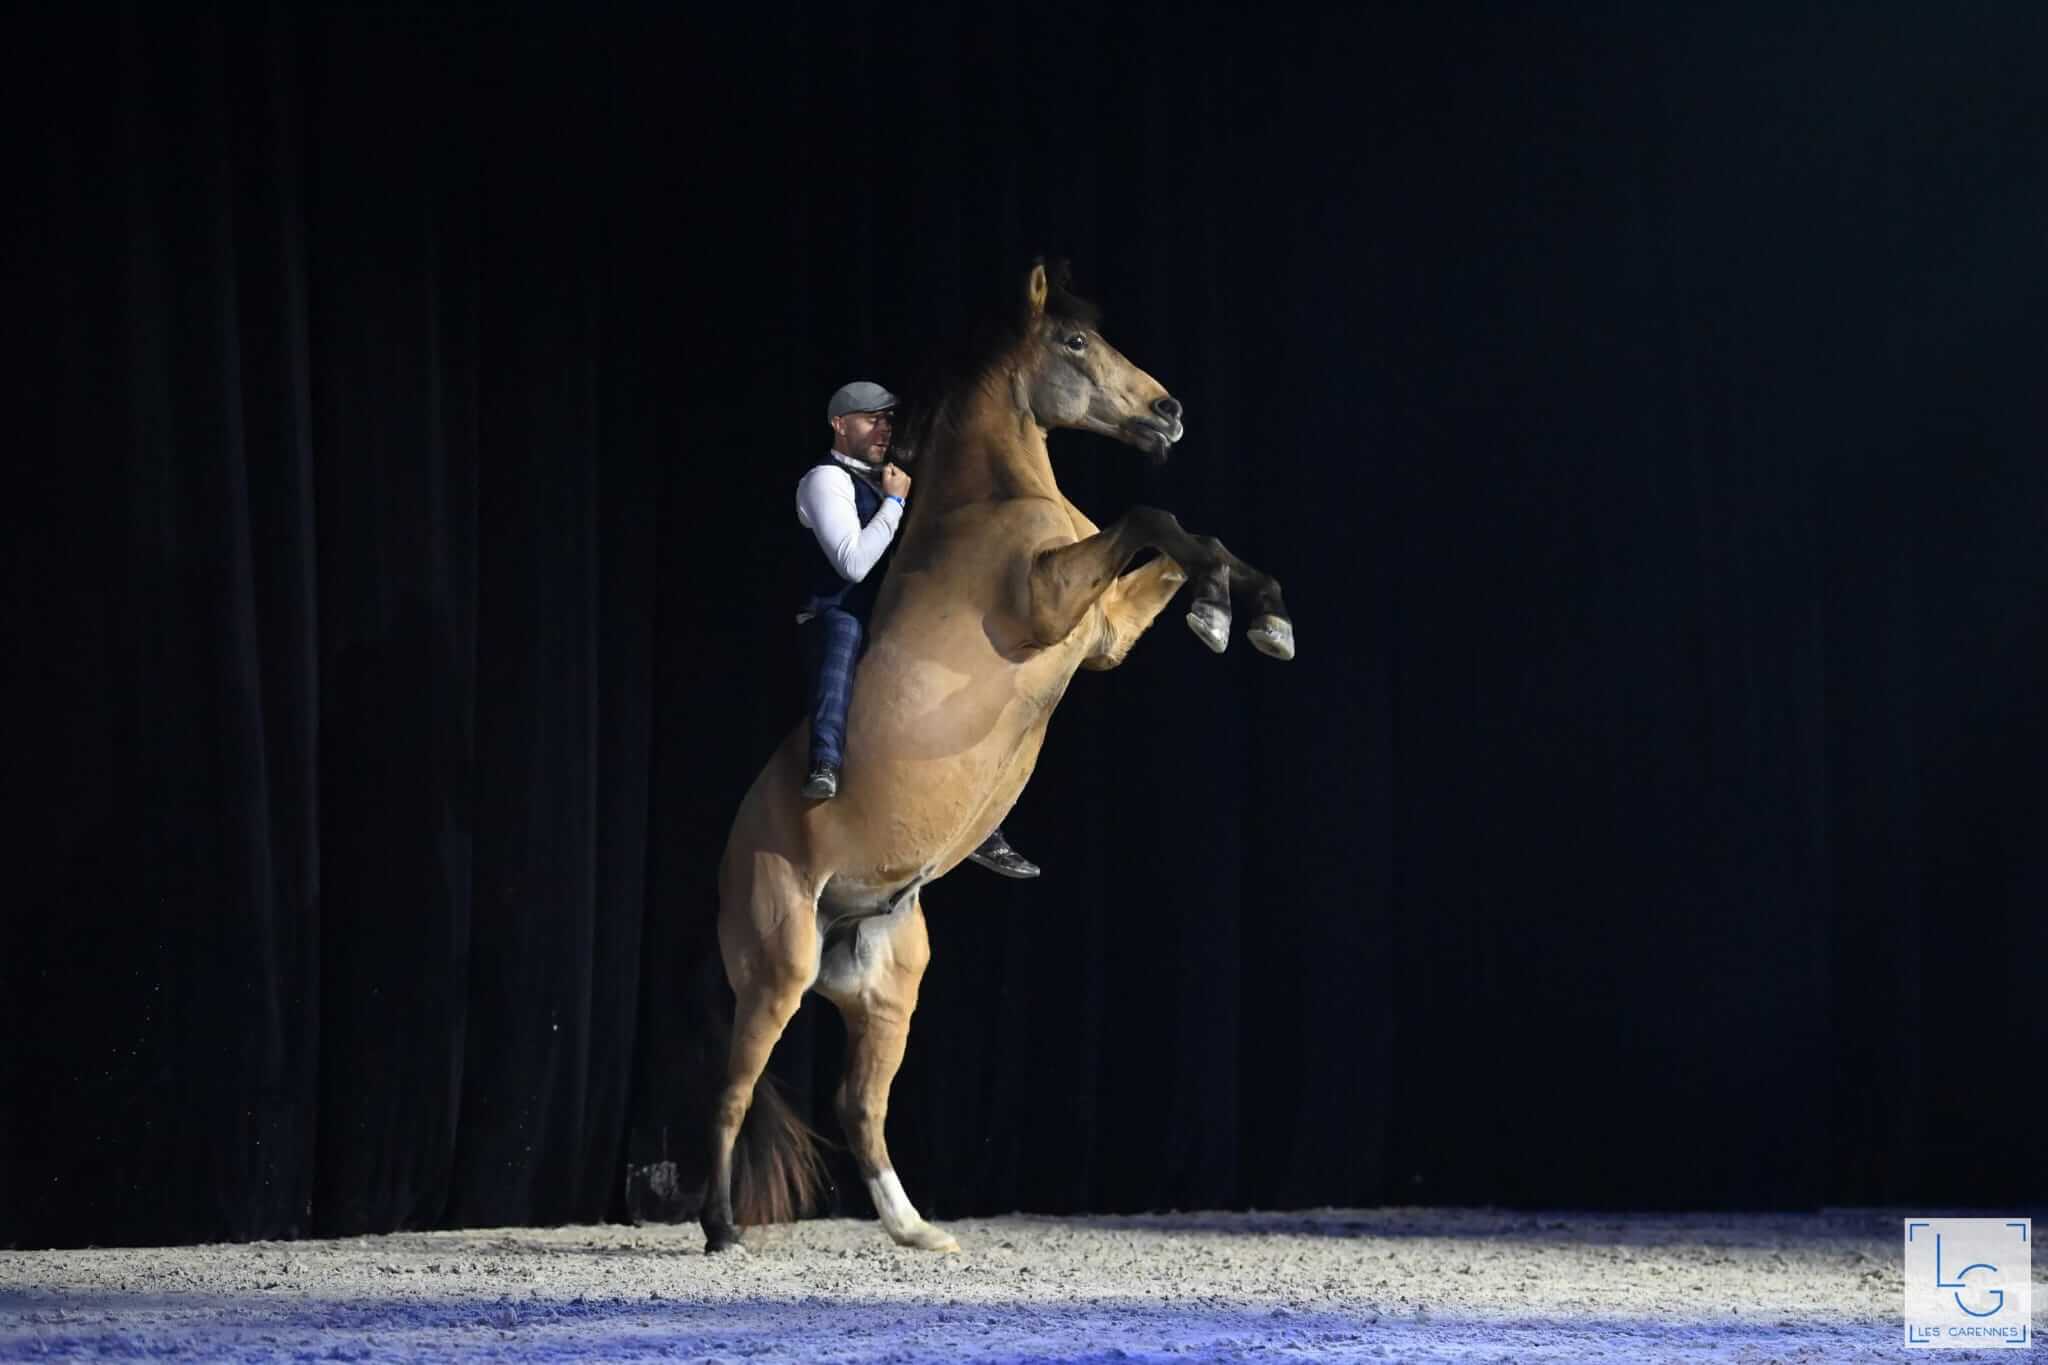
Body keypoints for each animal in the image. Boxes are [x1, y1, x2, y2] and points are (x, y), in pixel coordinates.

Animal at [700, 260, 1294, 1254]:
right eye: (1076, 342)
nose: (1168, 412)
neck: (991, 507)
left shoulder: (1103, 631)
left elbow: (1188, 540)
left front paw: (1250, 616)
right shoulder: (1052, 603)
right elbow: (1153, 513)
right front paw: (1231, 614)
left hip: (888, 985)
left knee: (859, 1105)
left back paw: (915, 1231)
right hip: (775, 975)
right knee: (733, 1092)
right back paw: (720, 1228)